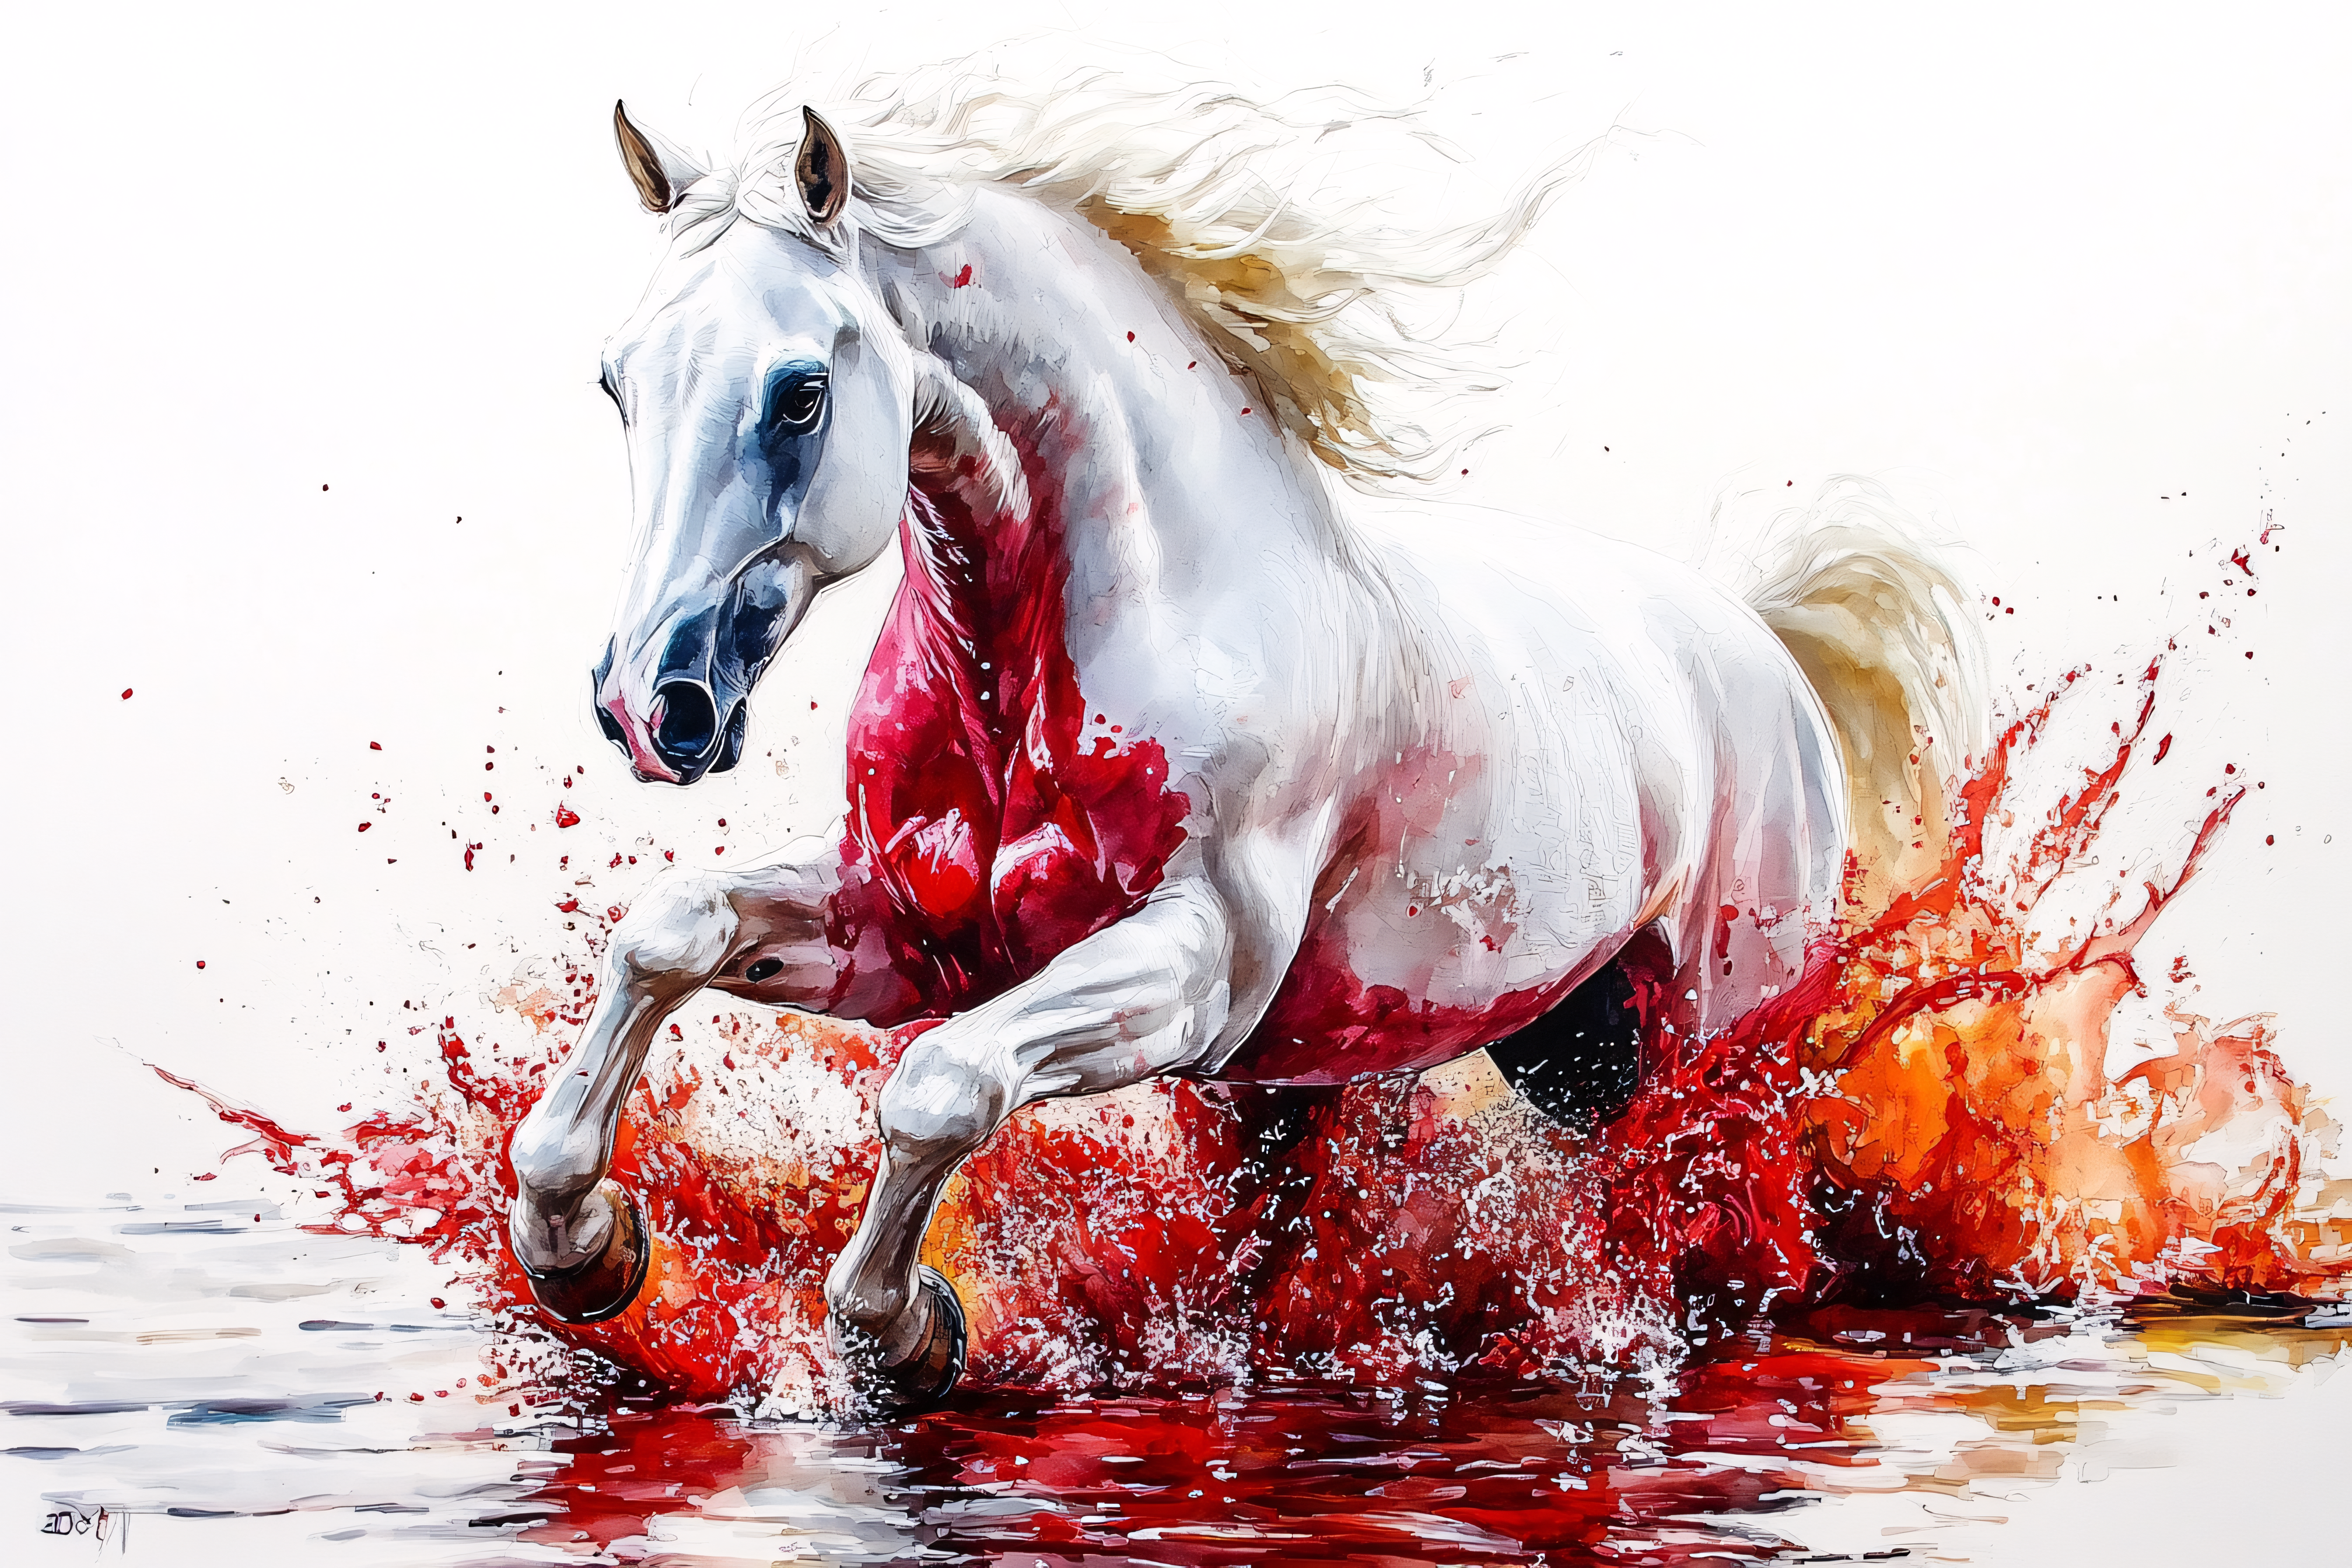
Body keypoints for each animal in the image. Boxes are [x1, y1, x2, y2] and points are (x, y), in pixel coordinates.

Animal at [504, 74, 1981, 1408]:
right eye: (617, 380)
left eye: (801, 392)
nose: (653, 703)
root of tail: (1767, 646)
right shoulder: (905, 927)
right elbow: (667, 933)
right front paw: (584, 1247)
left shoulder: (1195, 974)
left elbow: (942, 1083)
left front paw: (908, 1330)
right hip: (1565, 1047)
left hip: (1721, 1040)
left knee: (1725, 1213)